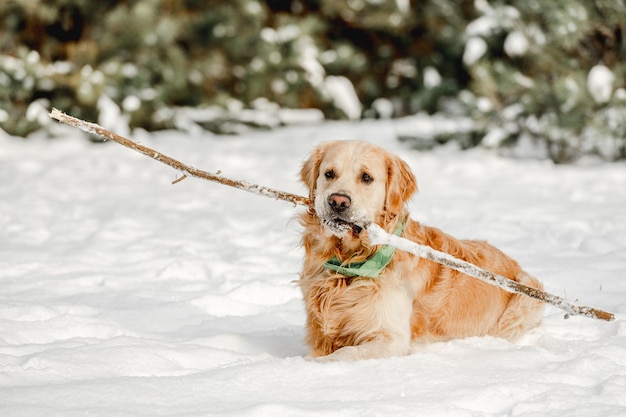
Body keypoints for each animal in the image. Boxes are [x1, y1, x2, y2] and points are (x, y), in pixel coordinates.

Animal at [298, 141, 540, 360]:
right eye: (329, 174)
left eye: (366, 177)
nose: (338, 202)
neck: (350, 262)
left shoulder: (391, 339)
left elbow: (339, 355)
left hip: (527, 294)